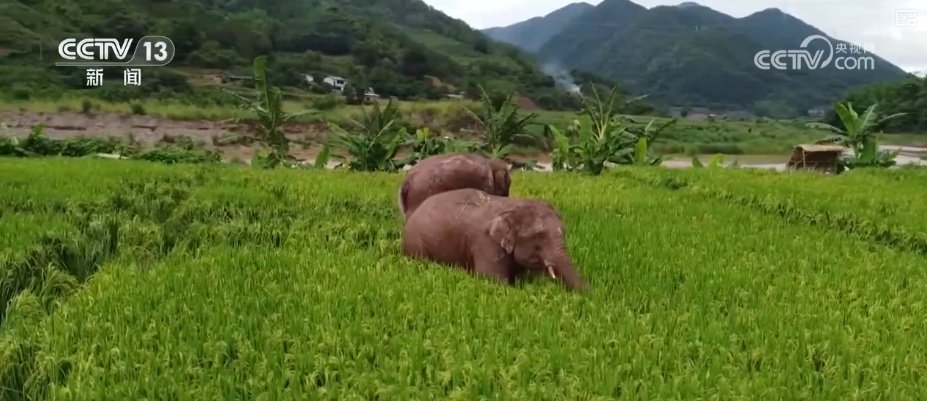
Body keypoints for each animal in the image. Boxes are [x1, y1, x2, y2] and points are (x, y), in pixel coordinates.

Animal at [402, 188, 587, 291]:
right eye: (538, 236)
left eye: (564, 231)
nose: (590, 293)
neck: (512, 206)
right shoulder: (486, 244)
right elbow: (493, 280)